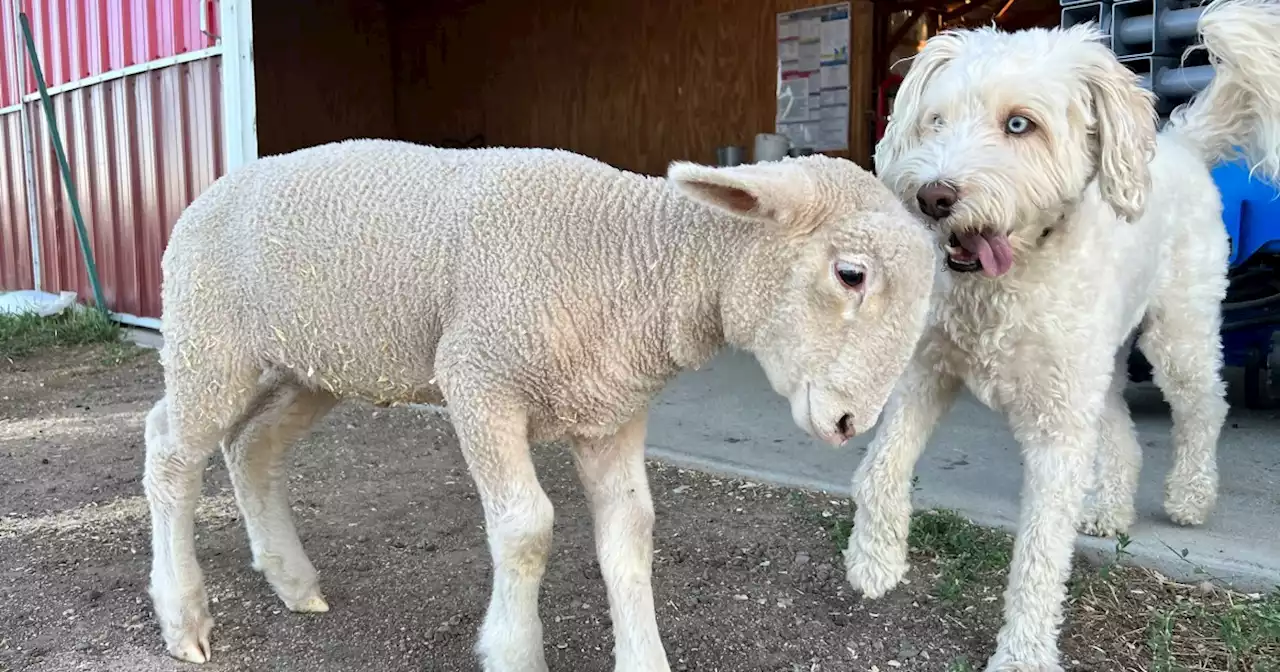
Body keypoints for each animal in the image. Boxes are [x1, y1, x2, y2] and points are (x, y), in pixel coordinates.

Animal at [142, 137, 942, 670]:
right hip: (209, 342)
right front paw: (515, 650)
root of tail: (211, 188)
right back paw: (184, 617)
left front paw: (643, 657)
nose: (850, 424)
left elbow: (630, 534)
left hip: (310, 366)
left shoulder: (613, 411)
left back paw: (292, 581)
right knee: (169, 451)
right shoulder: (478, 378)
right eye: (851, 273)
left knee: (252, 449)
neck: (634, 259)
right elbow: (527, 526)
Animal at [839, 1, 1280, 670]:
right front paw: (874, 558)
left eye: (1020, 124)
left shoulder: (1057, 429)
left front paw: (1023, 651)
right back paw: (1108, 509)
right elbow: (881, 464)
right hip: (1095, 369)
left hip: (1177, 335)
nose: (932, 196)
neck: (1006, 281)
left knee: (1205, 407)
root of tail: (1178, 143)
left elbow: (1042, 548)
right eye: (936, 120)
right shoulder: (927, 374)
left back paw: (1190, 495)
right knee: (1122, 433)